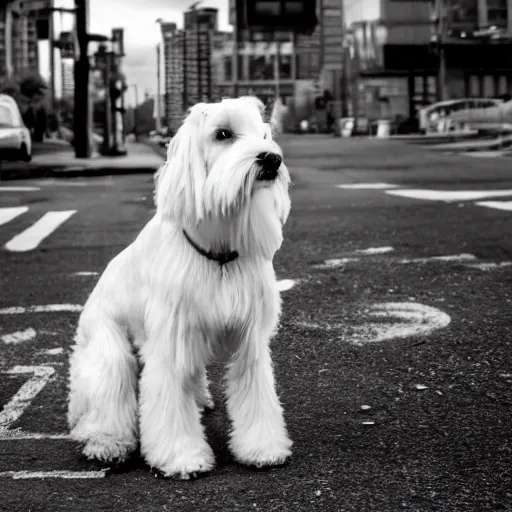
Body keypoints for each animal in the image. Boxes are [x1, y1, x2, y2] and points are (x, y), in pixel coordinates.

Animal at [67, 96, 292, 480]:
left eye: (264, 134)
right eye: (222, 134)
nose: (272, 159)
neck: (218, 252)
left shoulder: (250, 341)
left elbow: (256, 394)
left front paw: (263, 448)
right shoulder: (170, 341)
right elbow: (169, 405)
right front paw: (183, 457)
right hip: (109, 350)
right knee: (102, 404)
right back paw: (107, 443)